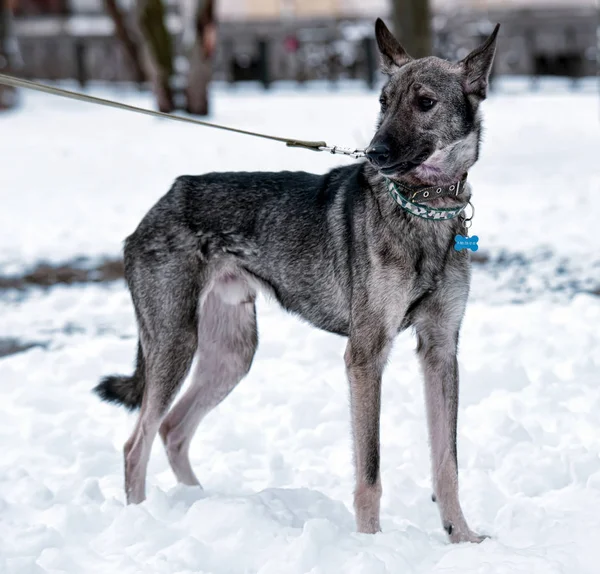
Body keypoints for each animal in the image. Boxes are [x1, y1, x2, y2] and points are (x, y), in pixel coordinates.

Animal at [94, 19, 496, 544]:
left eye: (425, 102)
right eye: (383, 101)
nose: (374, 152)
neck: (422, 209)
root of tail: (164, 200)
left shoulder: (441, 348)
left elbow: (447, 462)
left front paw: (461, 538)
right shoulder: (365, 355)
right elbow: (370, 471)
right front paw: (370, 545)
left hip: (231, 354)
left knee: (172, 430)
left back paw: (199, 506)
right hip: (176, 344)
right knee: (135, 443)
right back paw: (144, 524)